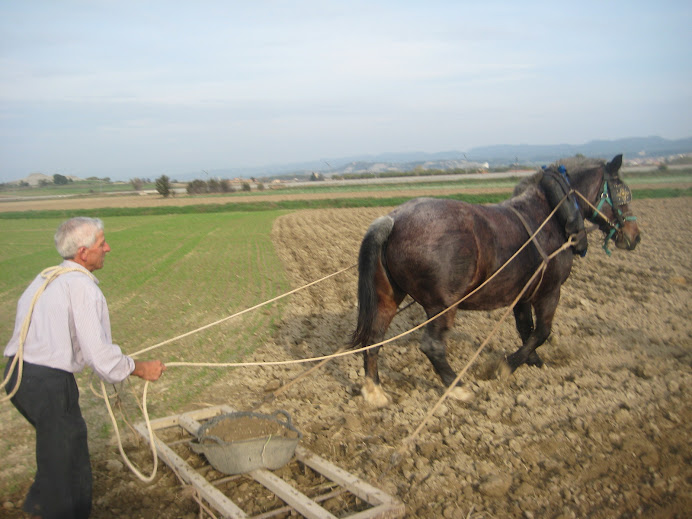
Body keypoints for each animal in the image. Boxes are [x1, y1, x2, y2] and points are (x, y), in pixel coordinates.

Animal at [352, 153, 644, 406]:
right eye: (622, 193)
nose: (635, 236)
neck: (550, 214)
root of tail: (392, 219)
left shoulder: (522, 295)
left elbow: (526, 329)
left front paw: (533, 361)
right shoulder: (549, 292)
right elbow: (542, 331)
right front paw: (507, 366)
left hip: (389, 297)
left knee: (373, 339)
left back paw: (374, 390)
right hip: (442, 306)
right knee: (432, 346)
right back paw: (458, 388)